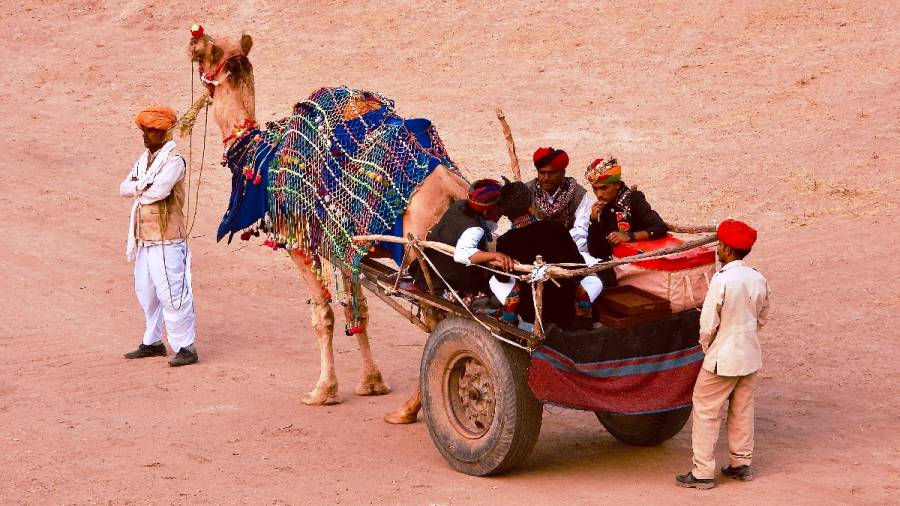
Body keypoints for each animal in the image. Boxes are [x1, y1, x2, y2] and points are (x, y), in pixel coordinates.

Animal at [187, 27, 467, 423]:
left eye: (205, 50)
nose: (190, 41)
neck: (262, 155)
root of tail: (456, 193)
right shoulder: (344, 246)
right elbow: (357, 309)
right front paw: (371, 383)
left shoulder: (300, 243)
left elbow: (323, 315)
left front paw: (323, 391)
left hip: (419, 260)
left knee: (438, 322)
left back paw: (410, 409)